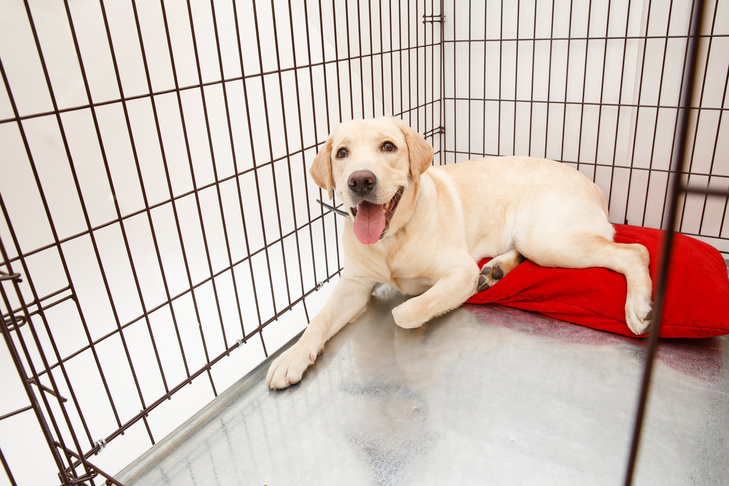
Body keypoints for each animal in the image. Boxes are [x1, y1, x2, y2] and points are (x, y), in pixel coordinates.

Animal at [264, 117, 652, 388]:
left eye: (388, 147)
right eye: (342, 153)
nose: (360, 180)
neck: (391, 240)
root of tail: (593, 185)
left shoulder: (459, 271)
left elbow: (405, 312)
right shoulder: (354, 284)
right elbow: (318, 320)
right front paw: (292, 356)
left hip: (547, 239)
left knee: (635, 250)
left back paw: (637, 307)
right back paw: (495, 270)